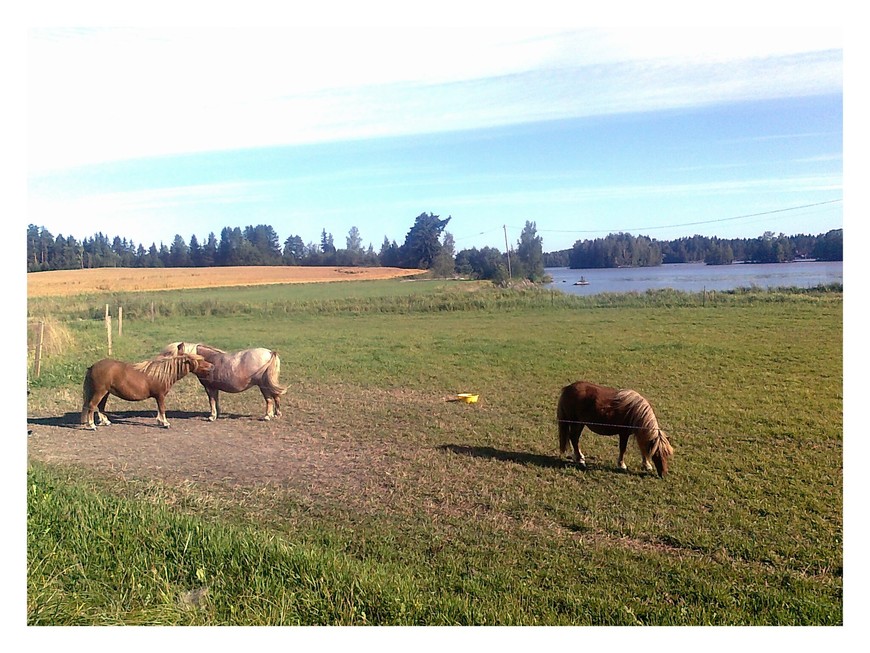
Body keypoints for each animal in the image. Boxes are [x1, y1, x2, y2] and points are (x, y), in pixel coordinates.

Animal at [81, 354, 214, 430]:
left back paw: (105, 422)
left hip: (106, 392)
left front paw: (160, 421)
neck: (162, 373)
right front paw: (165, 423)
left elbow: (159, 409)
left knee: (100, 406)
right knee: (92, 406)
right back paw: (92, 425)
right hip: (100, 391)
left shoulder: (158, 396)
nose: (212, 366)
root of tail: (93, 366)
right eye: (200, 361)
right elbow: (162, 409)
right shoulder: (160, 395)